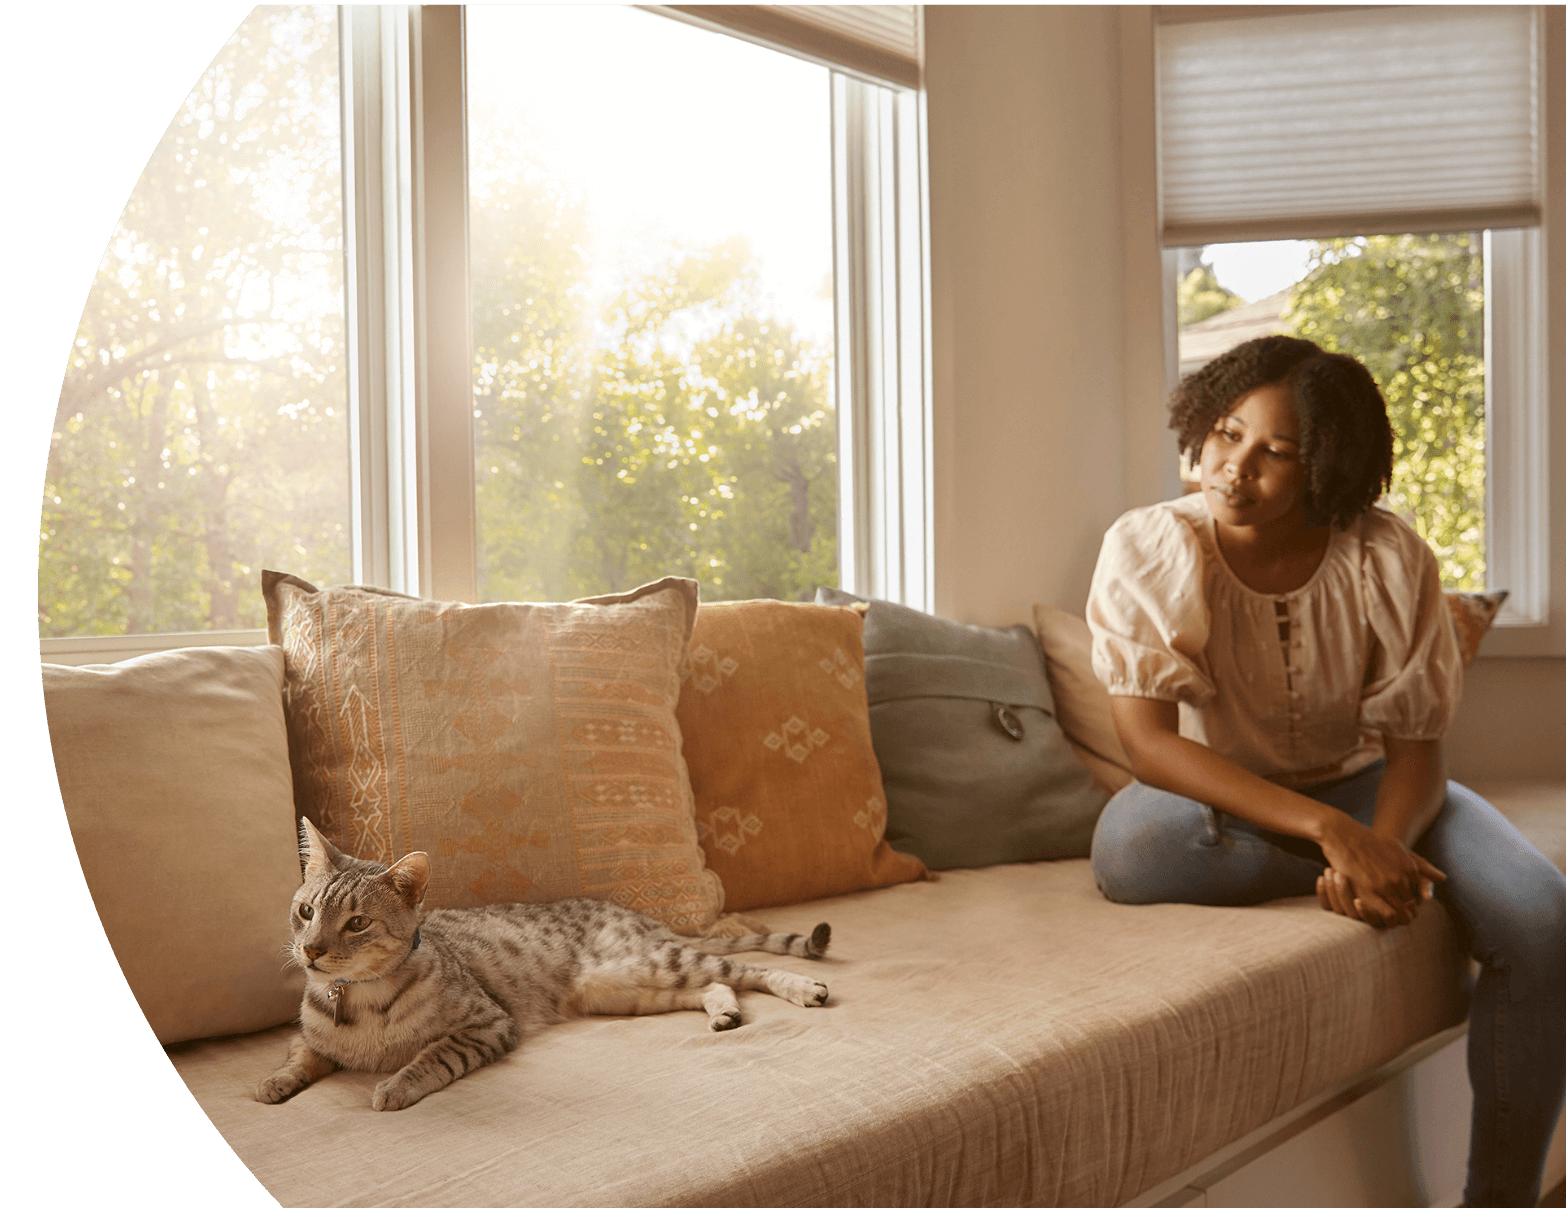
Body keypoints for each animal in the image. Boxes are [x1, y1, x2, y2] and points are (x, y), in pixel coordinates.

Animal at [256, 814, 833, 1109]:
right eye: (306, 911)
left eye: (357, 923)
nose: (310, 950)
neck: (353, 1000)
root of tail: (643, 916)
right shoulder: (313, 1039)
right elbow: (300, 1053)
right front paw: (276, 1081)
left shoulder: (488, 1025)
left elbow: (432, 1057)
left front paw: (396, 1085)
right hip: (626, 990)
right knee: (713, 986)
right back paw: (723, 1012)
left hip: (655, 964)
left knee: (746, 971)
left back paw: (803, 987)